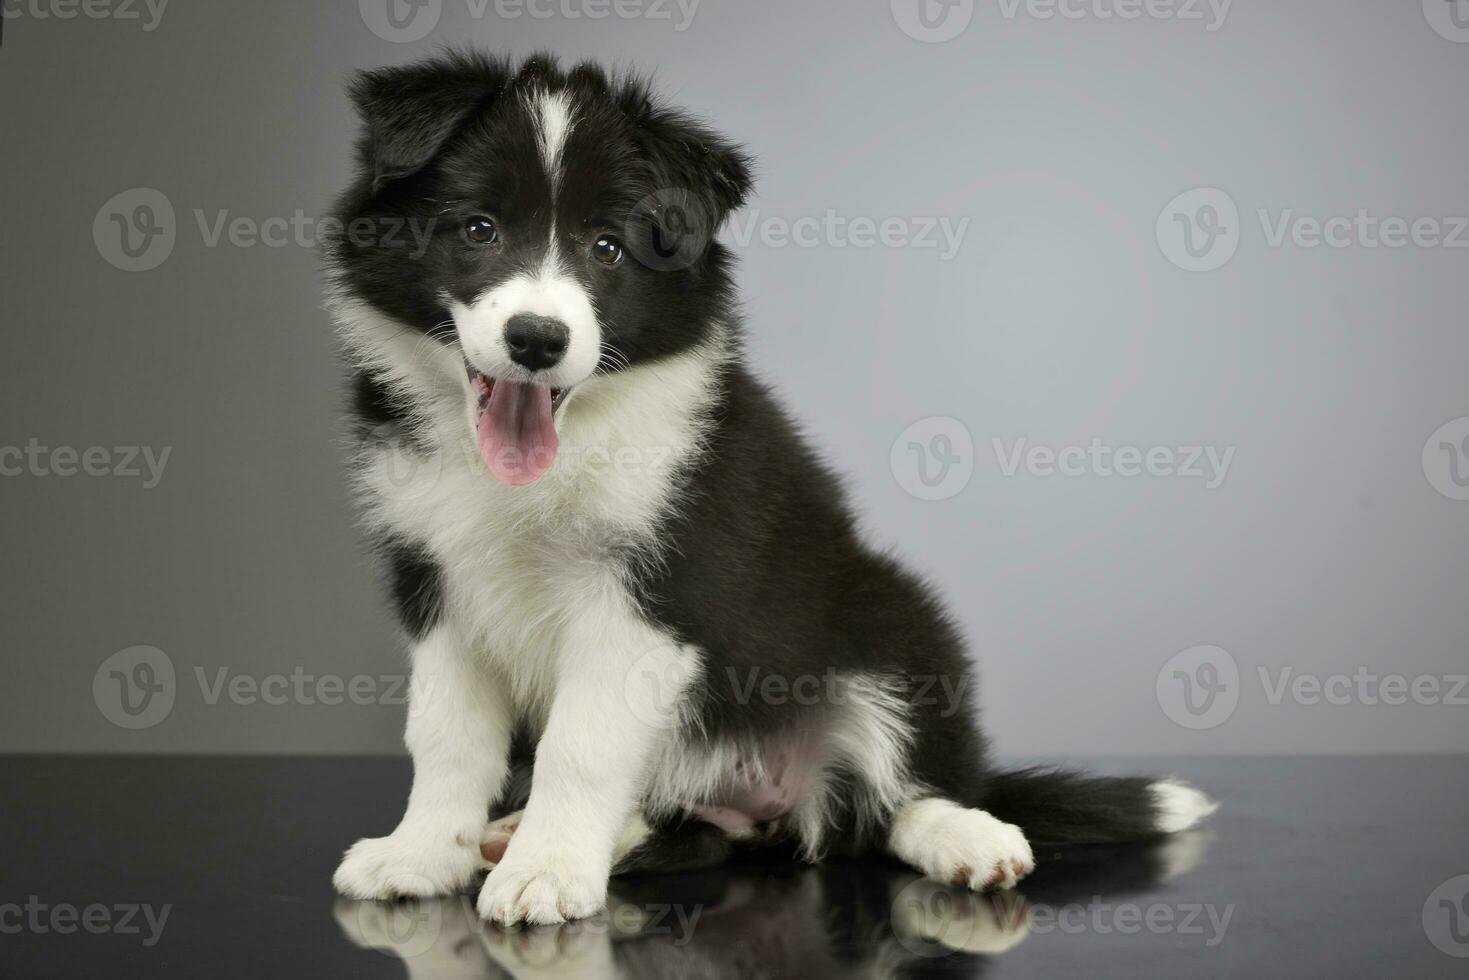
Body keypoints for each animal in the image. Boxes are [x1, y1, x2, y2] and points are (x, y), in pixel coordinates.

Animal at [324, 51, 1216, 928]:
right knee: (705, 829)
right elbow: (444, 736)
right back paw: (534, 835)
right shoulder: (436, 579)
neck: (561, 451)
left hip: (895, 623)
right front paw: (421, 854)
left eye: (607, 248)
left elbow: (578, 745)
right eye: (478, 228)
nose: (537, 340)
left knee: (895, 800)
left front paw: (544, 873)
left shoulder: (654, 592)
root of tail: (761, 795)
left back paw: (967, 837)